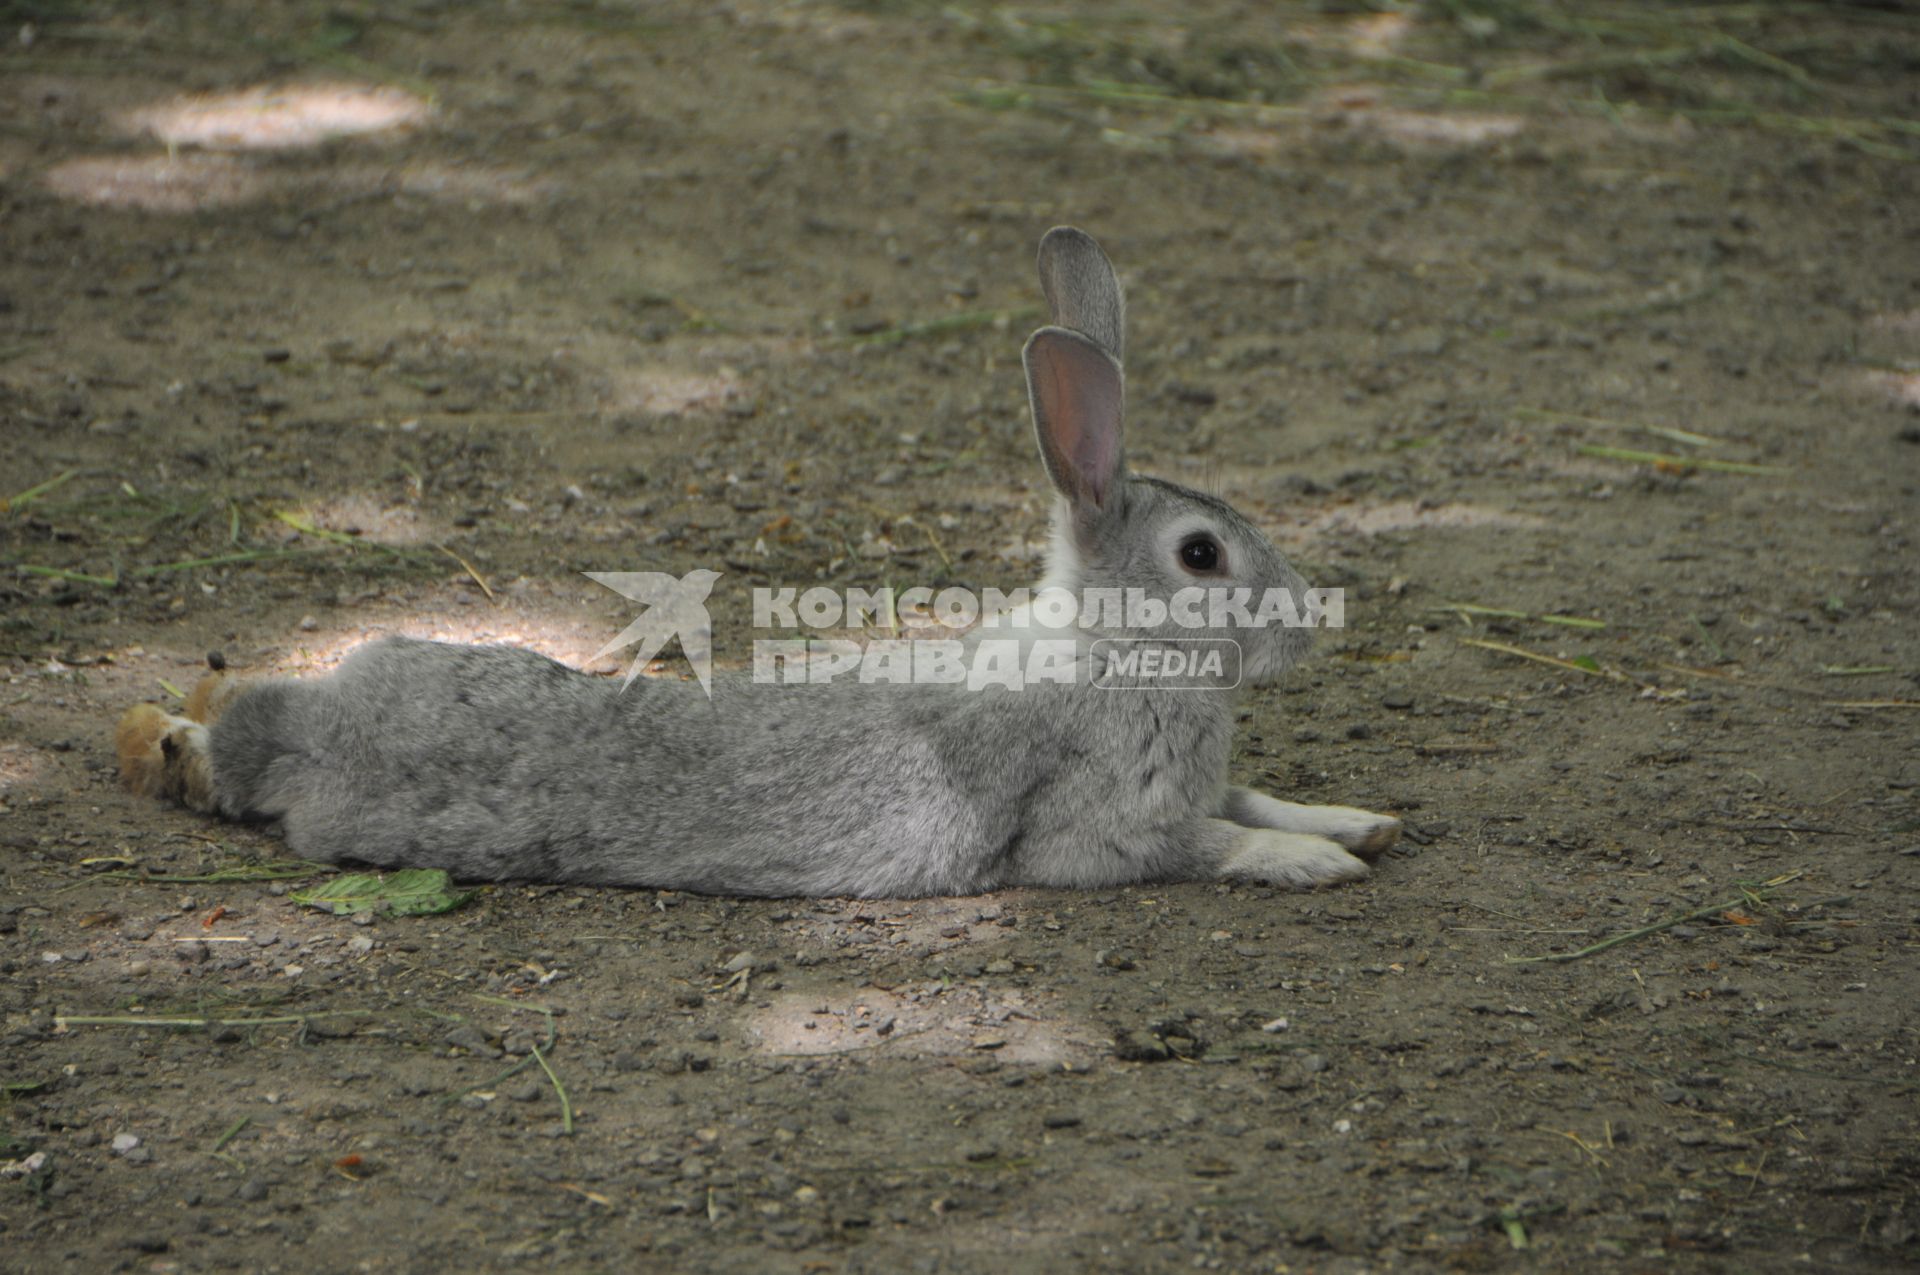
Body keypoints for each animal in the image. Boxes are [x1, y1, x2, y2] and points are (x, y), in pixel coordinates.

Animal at [120, 226, 1405, 894]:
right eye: (1202, 554)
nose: (1305, 627)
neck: (1111, 652)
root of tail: (315, 732)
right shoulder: (1104, 832)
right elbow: (1211, 839)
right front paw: (1313, 861)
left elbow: (1254, 791)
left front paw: (1361, 822)